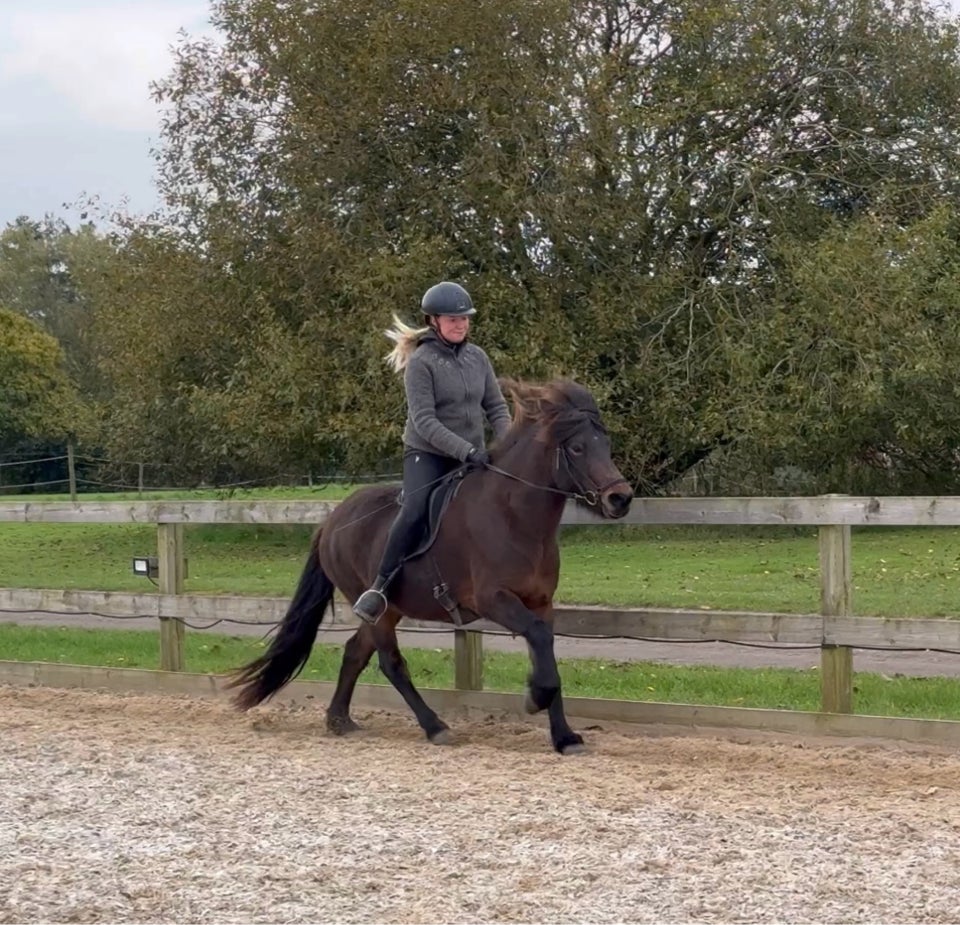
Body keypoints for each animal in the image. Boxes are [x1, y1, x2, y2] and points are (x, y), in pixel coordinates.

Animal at [224, 376, 632, 752]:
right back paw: (435, 727)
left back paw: (340, 720)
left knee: (356, 652)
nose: (621, 498)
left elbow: (545, 648)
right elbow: (540, 643)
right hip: (376, 606)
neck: (513, 516)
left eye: (606, 444)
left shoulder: (540, 602)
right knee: (391, 663)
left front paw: (564, 736)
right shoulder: (494, 599)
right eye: (577, 447)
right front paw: (535, 698)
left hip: (389, 610)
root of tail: (331, 522)